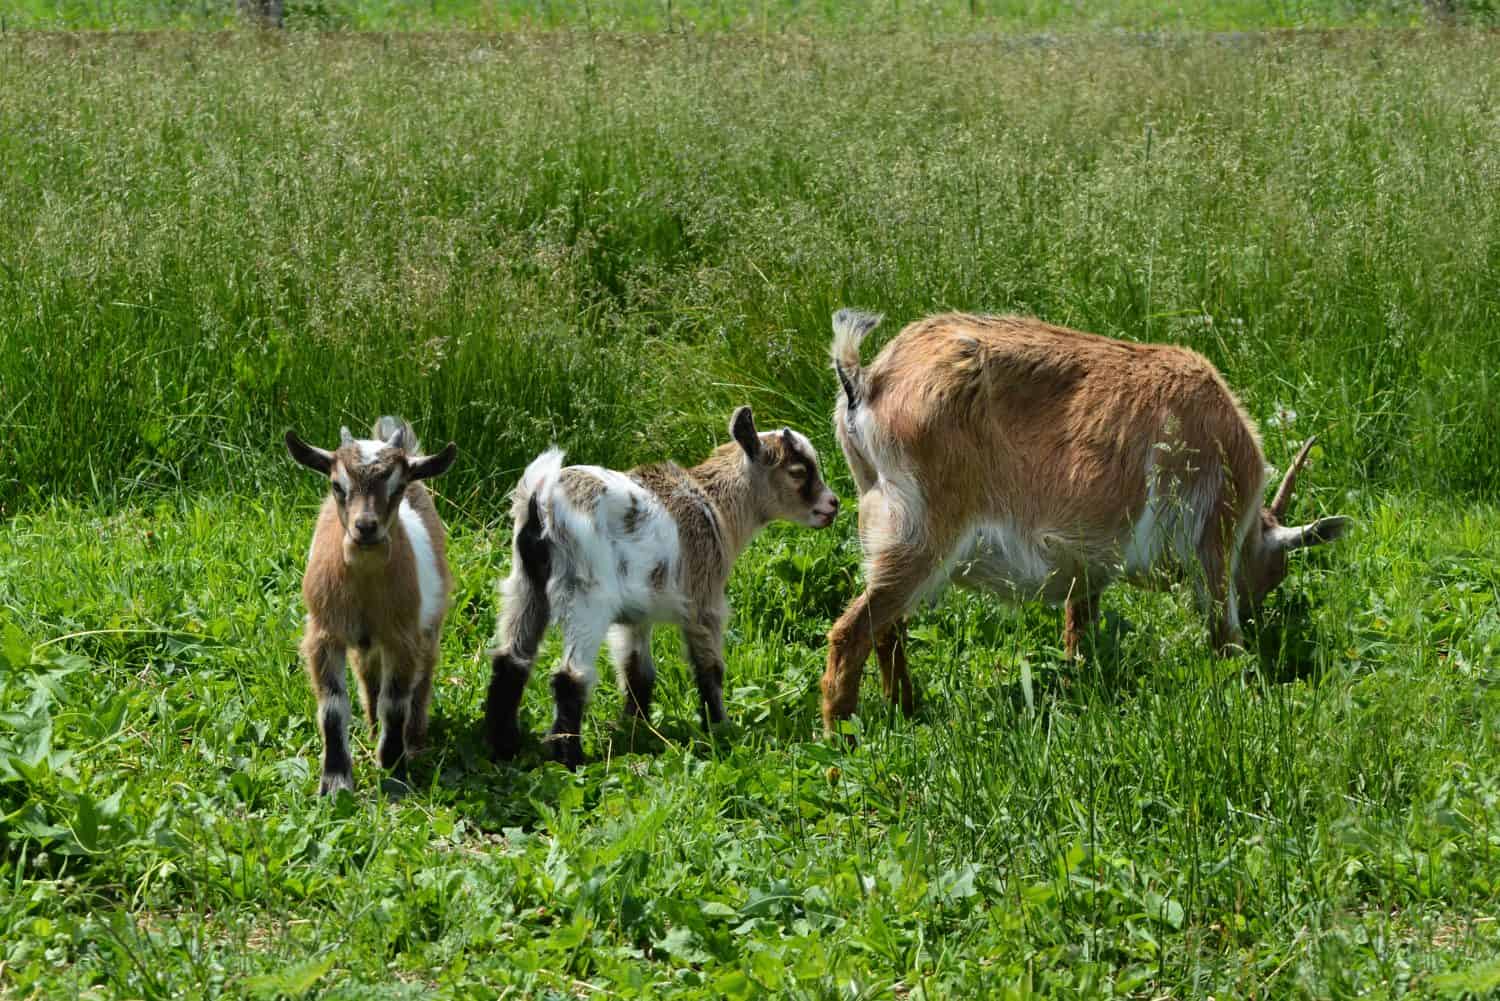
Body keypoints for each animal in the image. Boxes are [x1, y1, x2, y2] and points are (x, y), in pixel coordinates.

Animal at [285, 417, 457, 794]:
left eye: (398, 485)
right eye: (337, 485)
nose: (366, 527)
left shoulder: (401, 638)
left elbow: (395, 704)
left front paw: (393, 775)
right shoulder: (324, 635)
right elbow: (333, 707)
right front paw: (335, 783)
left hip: (429, 627)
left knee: (423, 678)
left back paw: (414, 740)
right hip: (365, 645)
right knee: (368, 677)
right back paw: (373, 728)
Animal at [483, 406, 840, 768]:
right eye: (798, 471)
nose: (833, 504)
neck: (713, 503)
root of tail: (541, 500)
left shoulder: (635, 617)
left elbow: (637, 673)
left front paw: (636, 730)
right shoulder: (704, 600)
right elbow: (709, 669)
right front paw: (721, 728)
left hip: (525, 586)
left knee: (510, 661)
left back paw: (505, 748)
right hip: (586, 595)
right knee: (569, 676)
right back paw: (570, 759)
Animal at [824, 310, 1351, 733]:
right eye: (1275, 572)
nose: (1260, 616)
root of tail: (867, 381)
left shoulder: (1086, 566)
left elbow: (1078, 631)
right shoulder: (1212, 538)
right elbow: (1223, 633)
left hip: (885, 531)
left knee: (887, 630)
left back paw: (907, 712)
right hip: (923, 535)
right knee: (851, 635)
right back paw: (840, 745)